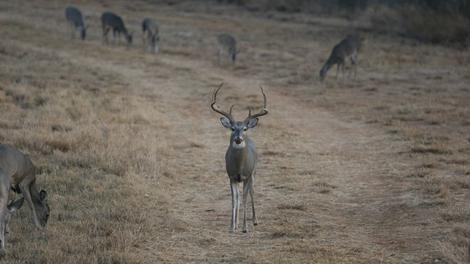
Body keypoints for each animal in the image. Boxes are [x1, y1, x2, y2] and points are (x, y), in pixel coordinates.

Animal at [210, 83, 268, 232]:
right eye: (232, 128)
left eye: (245, 129)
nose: (238, 139)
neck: (239, 167)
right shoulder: (231, 176)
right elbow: (234, 199)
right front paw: (232, 226)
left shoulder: (247, 175)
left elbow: (245, 197)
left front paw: (245, 227)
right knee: (238, 198)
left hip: (254, 172)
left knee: (252, 192)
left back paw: (255, 221)